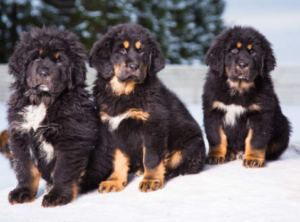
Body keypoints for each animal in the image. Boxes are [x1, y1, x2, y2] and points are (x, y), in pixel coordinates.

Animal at [7, 27, 112, 206]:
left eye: (59, 61)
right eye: (36, 57)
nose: (44, 72)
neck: (43, 100)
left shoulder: (71, 139)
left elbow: (63, 171)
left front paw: (57, 195)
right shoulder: (20, 134)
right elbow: (26, 168)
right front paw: (23, 192)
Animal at [89, 23, 206, 193]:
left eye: (141, 51)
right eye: (121, 50)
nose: (134, 66)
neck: (124, 93)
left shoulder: (153, 126)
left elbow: (151, 157)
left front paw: (151, 180)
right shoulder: (112, 128)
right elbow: (118, 158)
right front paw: (114, 181)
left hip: (189, 146)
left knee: (183, 167)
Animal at [202, 26, 290, 168]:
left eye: (253, 51)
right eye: (233, 50)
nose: (243, 64)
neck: (238, 88)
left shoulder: (260, 114)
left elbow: (255, 139)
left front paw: (253, 159)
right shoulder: (213, 111)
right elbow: (217, 137)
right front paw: (215, 156)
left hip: (284, 129)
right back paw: (229, 153)